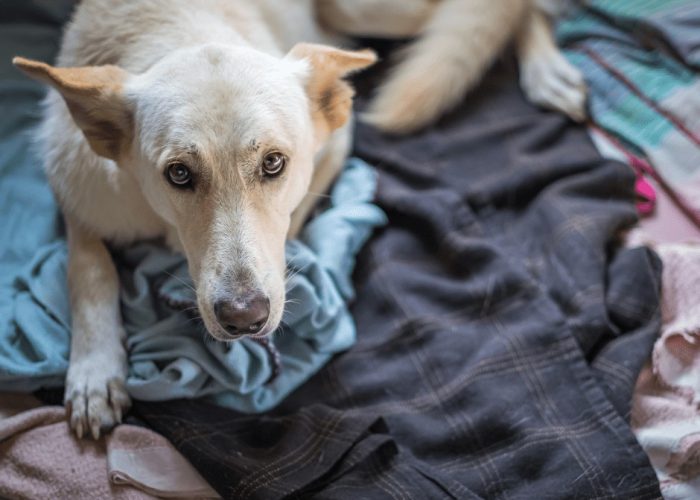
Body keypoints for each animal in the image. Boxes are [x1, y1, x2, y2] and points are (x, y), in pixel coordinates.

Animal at [15, 0, 584, 438]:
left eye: (273, 164)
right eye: (178, 174)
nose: (244, 318)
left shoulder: (335, 145)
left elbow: (297, 222)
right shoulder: (77, 193)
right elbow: (90, 269)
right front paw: (94, 371)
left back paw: (548, 72)